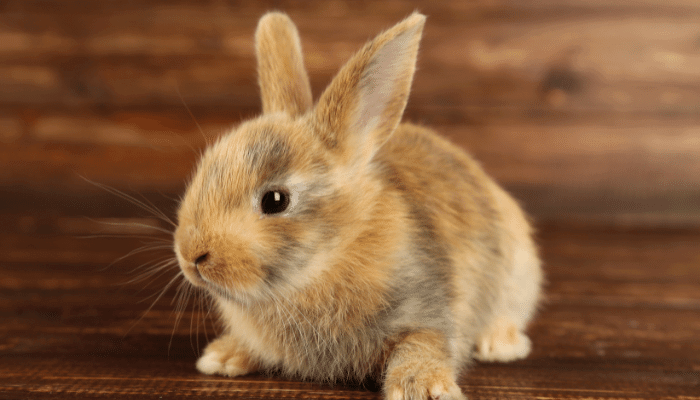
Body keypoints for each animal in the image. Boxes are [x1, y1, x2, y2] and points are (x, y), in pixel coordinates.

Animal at [173, 11, 542, 400]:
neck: (331, 257)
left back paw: (500, 344)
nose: (191, 255)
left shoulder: (426, 307)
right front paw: (221, 357)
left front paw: (422, 388)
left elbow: (422, 344)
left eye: (275, 200)